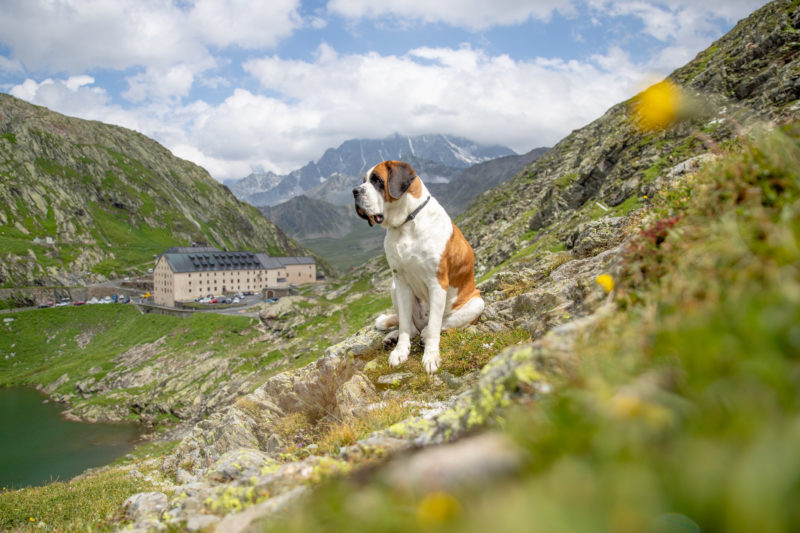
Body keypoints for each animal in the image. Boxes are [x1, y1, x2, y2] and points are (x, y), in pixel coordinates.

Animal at [354, 160, 484, 372]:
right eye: (364, 180)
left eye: (377, 180)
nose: (355, 191)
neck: (407, 222)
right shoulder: (400, 280)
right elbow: (405, 327)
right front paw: (400, 351)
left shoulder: (437, 283)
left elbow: (435, 327)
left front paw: (431, 357)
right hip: (393, 287)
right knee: (411, 326)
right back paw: (394, 336)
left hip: (477, 302)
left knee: (439, 324)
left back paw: (425, 333)